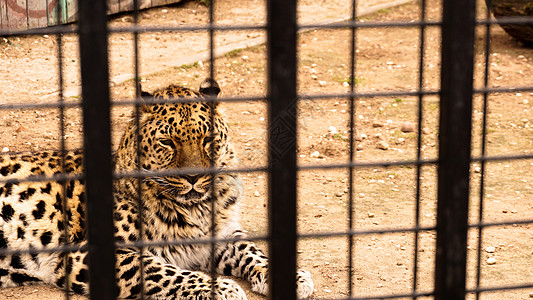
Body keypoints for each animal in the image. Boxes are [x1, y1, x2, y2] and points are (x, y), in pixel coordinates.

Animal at [0, 78, 312, 298]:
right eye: (167, 142)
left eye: (208, 139)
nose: (194, 176)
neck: (196, 209)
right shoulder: (91, 253)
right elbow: (164, 272)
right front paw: (222, 289)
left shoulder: (221, 234)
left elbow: (251, 250)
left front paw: (292, 277)